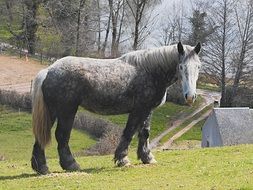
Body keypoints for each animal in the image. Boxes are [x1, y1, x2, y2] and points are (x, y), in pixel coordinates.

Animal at [31, 42, 202, 174]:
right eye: (181, 66)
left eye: (198, 67)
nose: (190, 96)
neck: (151, 71)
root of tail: (49, 70)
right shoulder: (138, 110)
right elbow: (129, 133)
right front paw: (123, 159)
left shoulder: (148, 110)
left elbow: (144, 133)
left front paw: (147, 157)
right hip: (67, 111)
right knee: (61, 136)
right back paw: (71, 164)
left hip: (53, 112)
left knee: (42, 135)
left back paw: (42, 167)